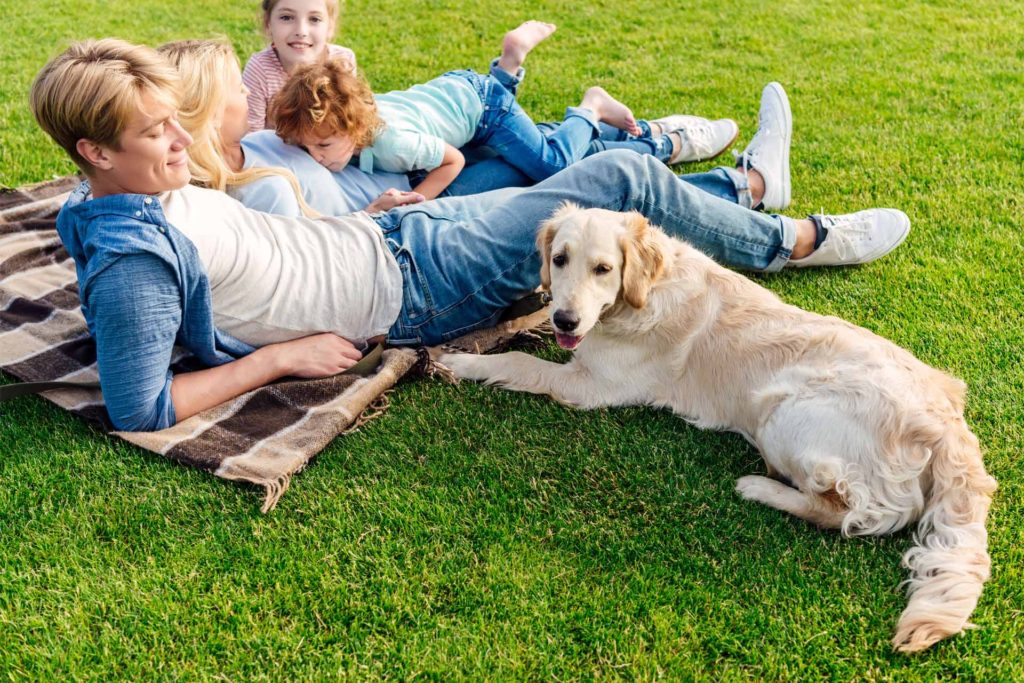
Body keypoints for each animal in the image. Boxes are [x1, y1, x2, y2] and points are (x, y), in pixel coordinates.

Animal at [438, 201, 991, 651]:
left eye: (603, 269)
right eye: (559, 259)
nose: (565, 321)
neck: (642, 295)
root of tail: (946, 423)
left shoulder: (589, 387)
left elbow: (518, 362)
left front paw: (460, 361)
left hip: (784, 414)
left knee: (855, 515)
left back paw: (759, 487)